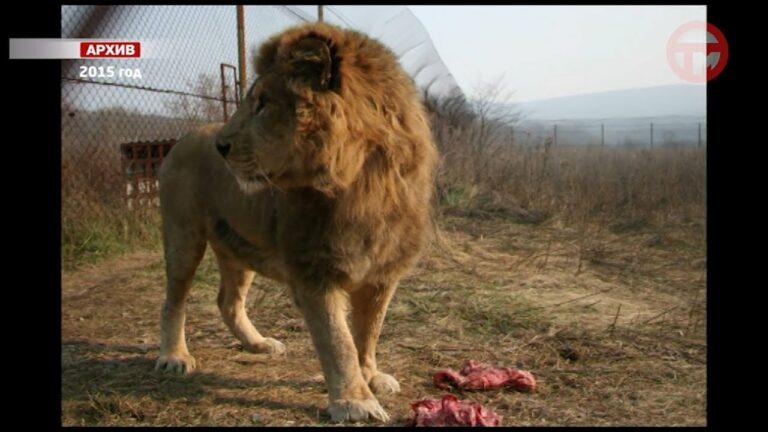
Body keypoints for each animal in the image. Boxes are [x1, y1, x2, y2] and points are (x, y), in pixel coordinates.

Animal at [154, 22, 438, 423]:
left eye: (262, 103)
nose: (221, 147)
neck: (362, 185)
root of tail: (183, 138)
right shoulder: (313, 271)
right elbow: (339, 342)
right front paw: (355, 402)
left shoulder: (383, 275)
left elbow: (368, 333)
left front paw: (370, 376)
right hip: (183, 237)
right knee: (173, 300)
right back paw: (174, 357)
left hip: (239, 247)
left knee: (227, 301)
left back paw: (258, 344)